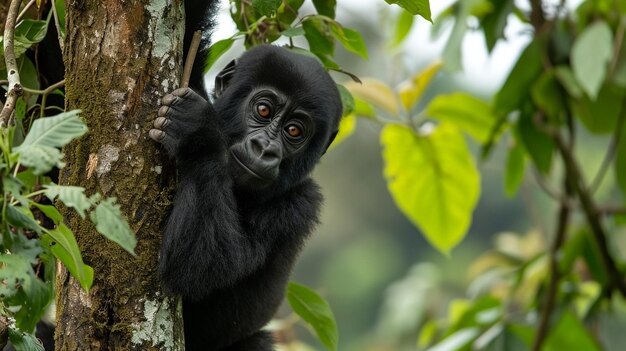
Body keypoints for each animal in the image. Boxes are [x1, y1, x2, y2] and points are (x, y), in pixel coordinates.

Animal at [149, 45, 342, 350]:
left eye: (294, 130)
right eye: (263, 110)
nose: (264, 149)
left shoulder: (303, 203)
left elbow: (199, 266)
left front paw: (198, 133)